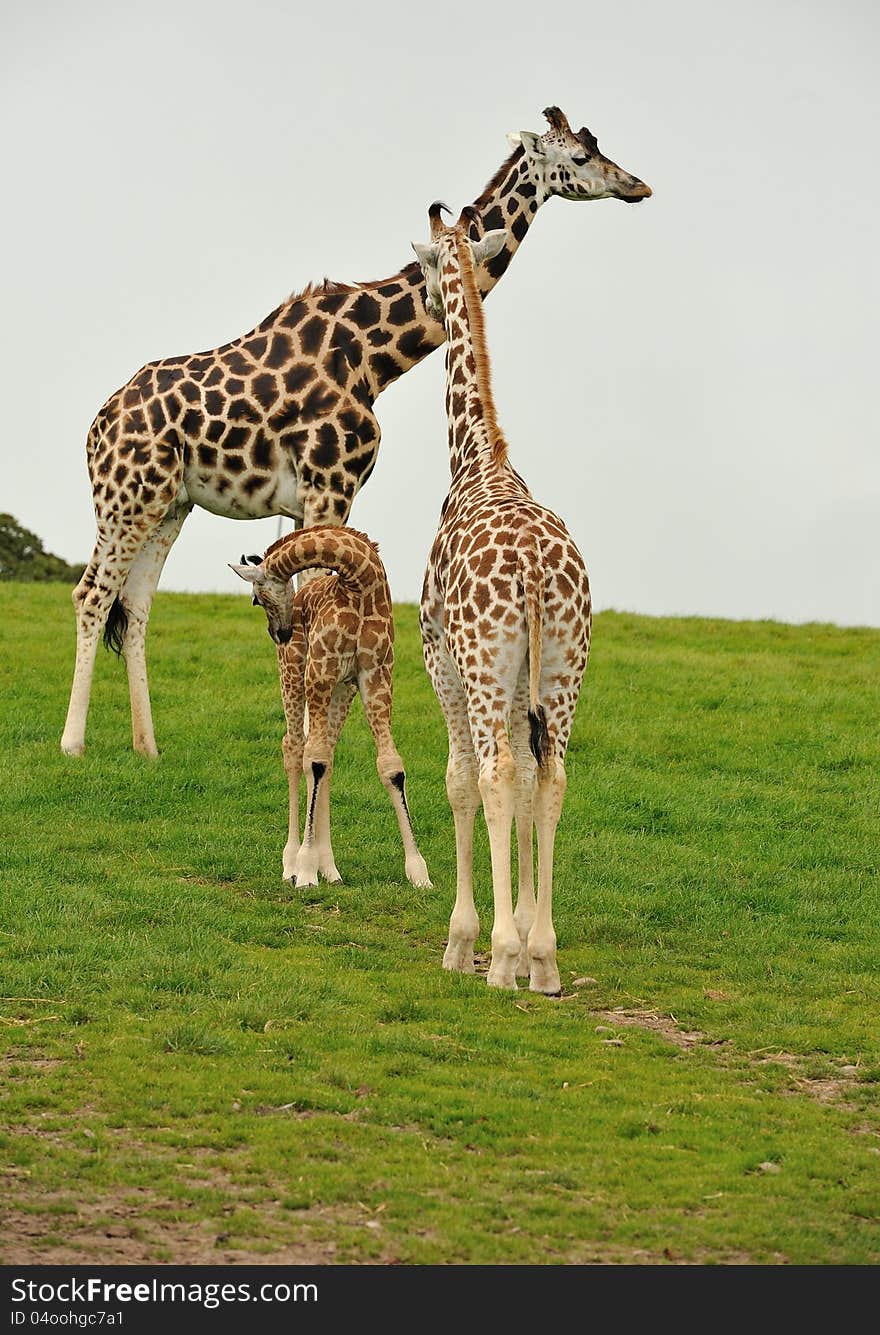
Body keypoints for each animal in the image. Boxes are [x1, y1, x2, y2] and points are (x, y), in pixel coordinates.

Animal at [62, 101, 651, 763]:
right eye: (579, 156)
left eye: (597, 147)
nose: (637, 186)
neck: (373, 358)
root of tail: (97, 427)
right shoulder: (330, 485)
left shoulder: (309, 500)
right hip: (123, 498)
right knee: (92, 594)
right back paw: (72, 744)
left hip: (169, 504)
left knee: (134, 603)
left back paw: (147, 748)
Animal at [231, 525, 429, 891]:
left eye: (255, 598)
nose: (279, 633)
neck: (361, 585)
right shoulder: (320, 672)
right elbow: (314, 760)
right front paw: (305, 870)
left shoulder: (376, 676)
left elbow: (390, 766)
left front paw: (418, 872)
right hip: (294, 673)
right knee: (295, 747)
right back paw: (290, 863)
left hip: (341, 689)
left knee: (325, 753)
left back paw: (331, 869)